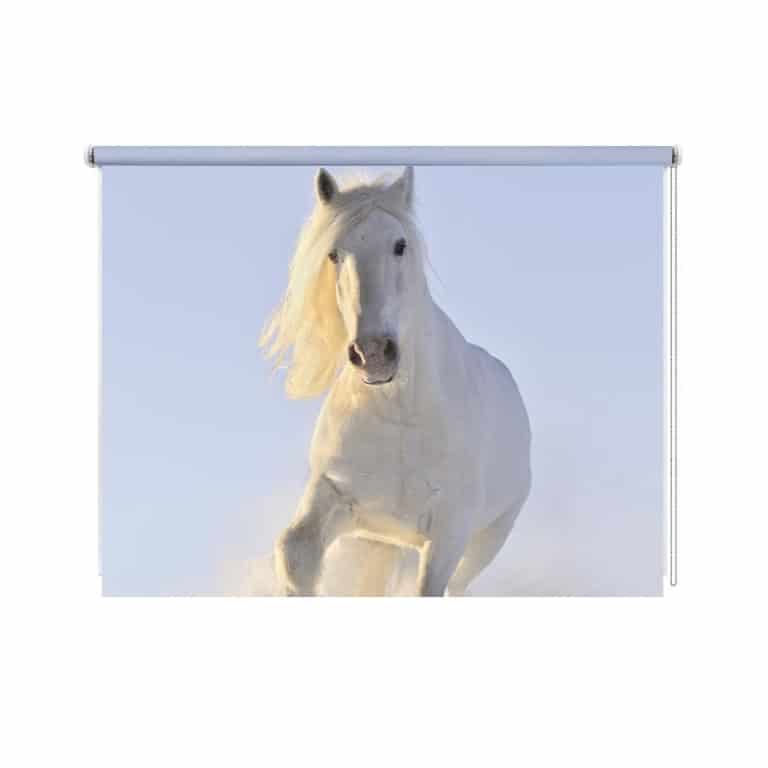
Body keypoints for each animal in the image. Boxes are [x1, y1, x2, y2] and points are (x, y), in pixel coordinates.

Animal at [260, 166, 531, 596]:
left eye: (400, 245)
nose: (373, 352)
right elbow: (295, 554)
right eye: (333, 254)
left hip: (484, 542)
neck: (401, 413)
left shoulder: (449, 530)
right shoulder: (338, 499)